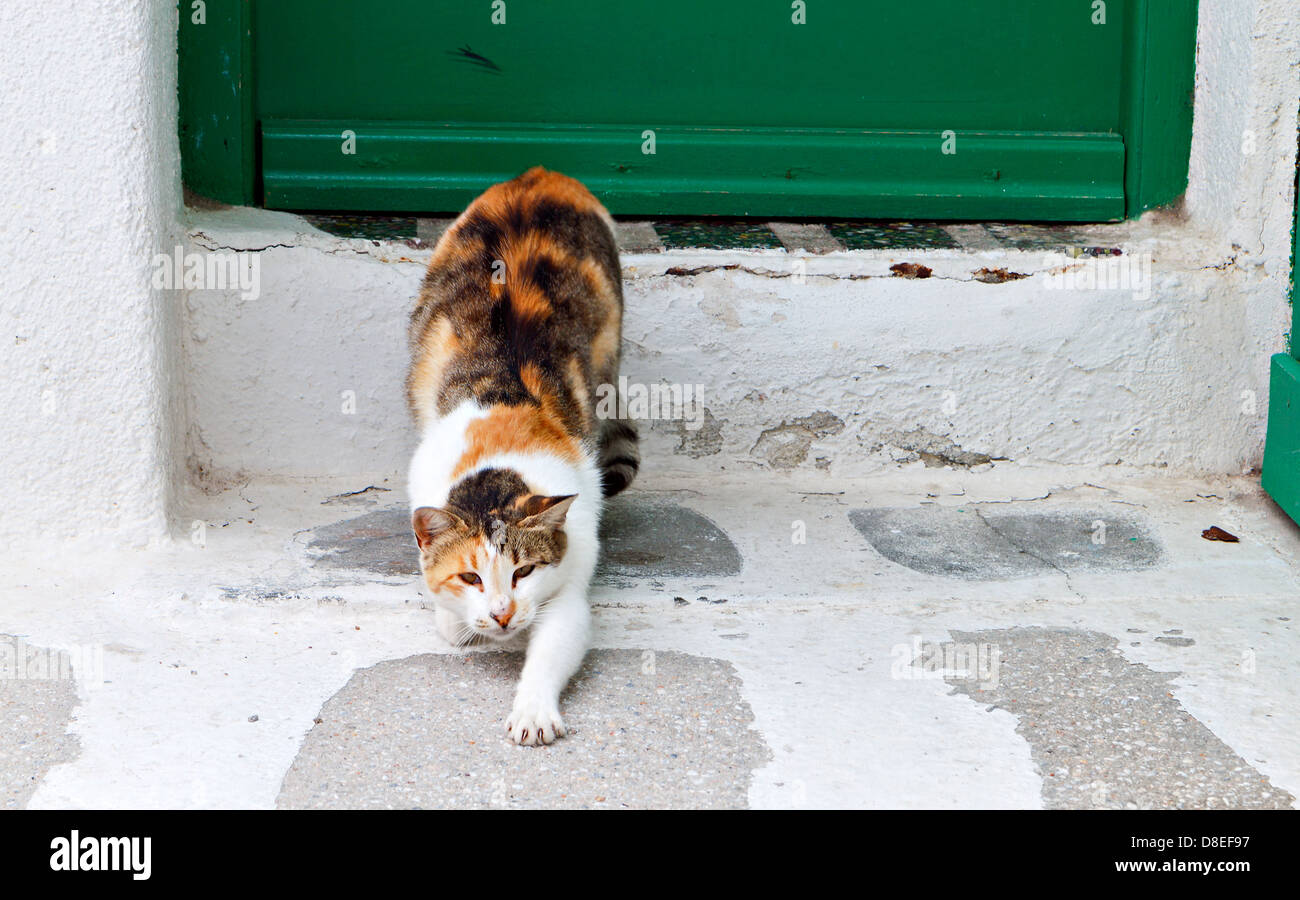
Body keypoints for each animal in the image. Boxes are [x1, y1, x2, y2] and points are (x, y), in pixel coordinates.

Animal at [400, 166, 634, 743]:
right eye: (471, 577)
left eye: (524, 572)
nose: (503, 613)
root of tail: (541, 173)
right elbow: (446, 615)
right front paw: (460, 623)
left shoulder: (571, 581)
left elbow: (552, 649)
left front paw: (532, 711)